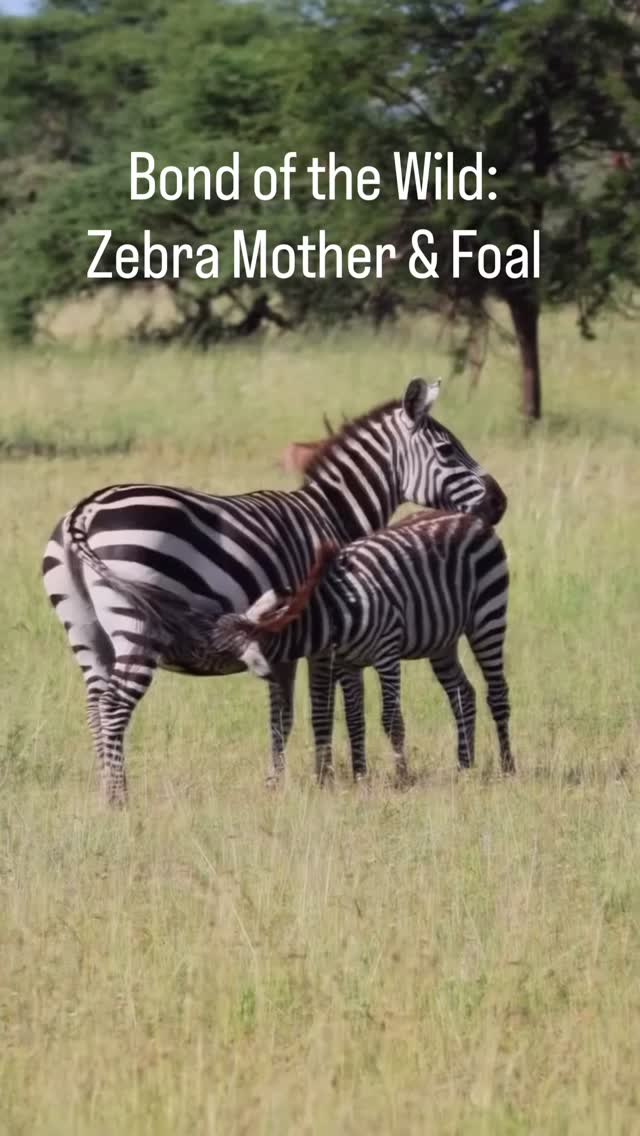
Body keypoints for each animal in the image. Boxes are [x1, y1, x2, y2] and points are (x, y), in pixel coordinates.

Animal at [210, 510, 514, 781]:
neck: (332, 611)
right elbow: (354, 719)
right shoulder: (347, 662)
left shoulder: (387, 652)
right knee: (463, 693)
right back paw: (464, 764)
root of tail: (470, 518)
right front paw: (360, 775)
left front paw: (401, 776)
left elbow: (391, 719)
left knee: (497, 693)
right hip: (441, 640)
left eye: (222, 652)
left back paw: (507, 766)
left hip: (487, 615)